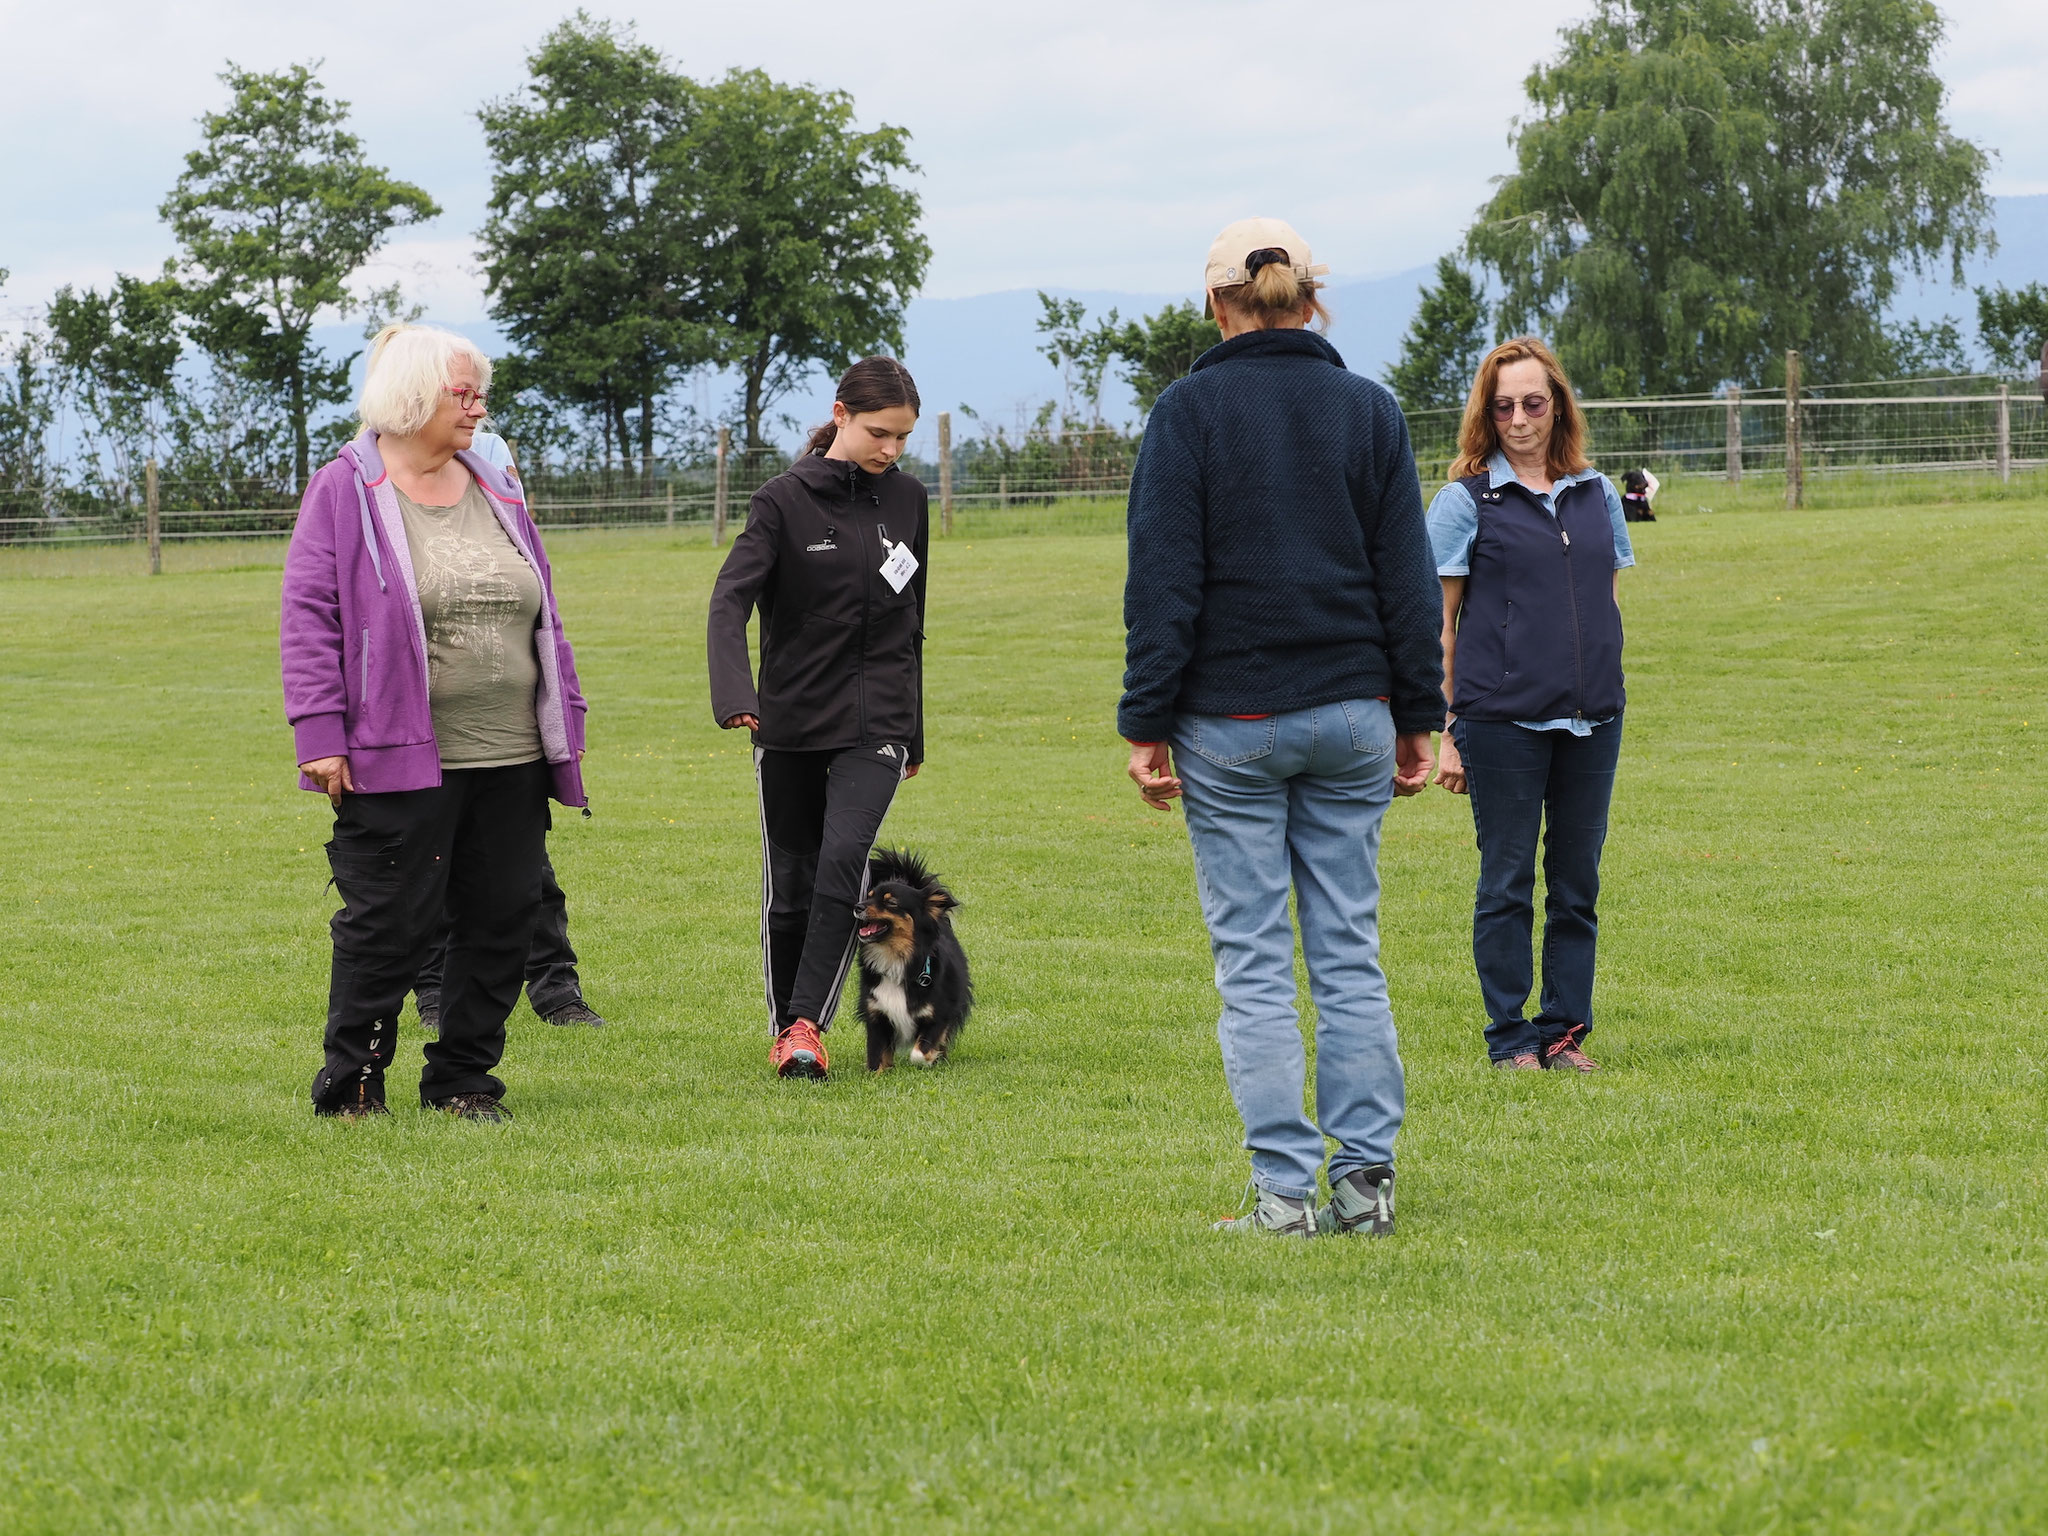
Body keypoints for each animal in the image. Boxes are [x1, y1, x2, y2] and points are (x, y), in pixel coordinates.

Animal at [853, 848, 972, 1071]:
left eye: (891, 902)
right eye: (869, 897)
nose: (857, 906)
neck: (895, 958)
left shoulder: (939, 1014)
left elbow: (919, 1052)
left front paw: (929, 1060)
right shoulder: (876, 1015)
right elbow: (876, 1055)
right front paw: (879, 1072)